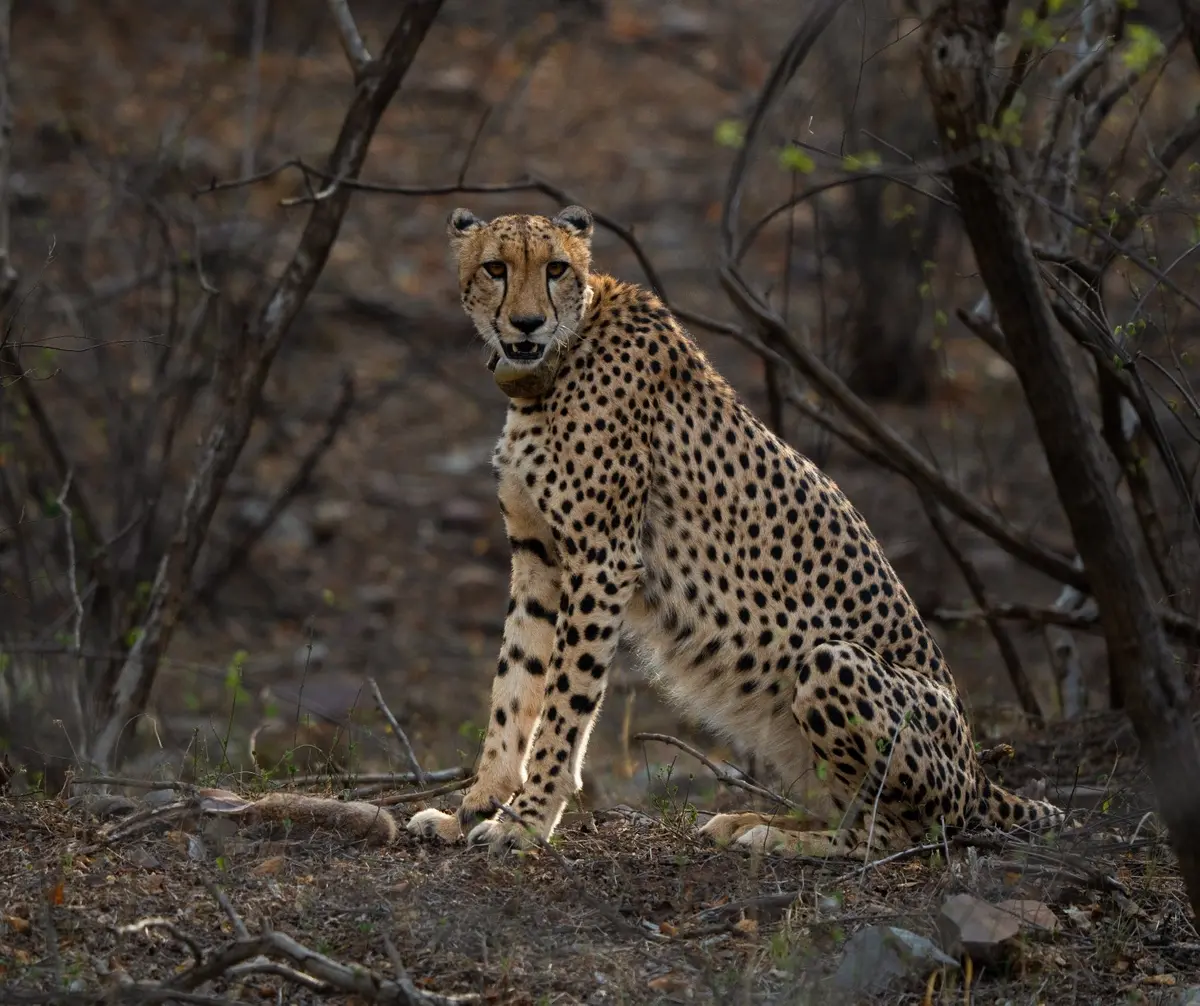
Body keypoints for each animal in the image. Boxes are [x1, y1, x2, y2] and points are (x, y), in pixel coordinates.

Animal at [407, 204, 1065, 860]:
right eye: (495, 268)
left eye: (556, 268)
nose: (527, 323)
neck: (552, 364)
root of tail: (981, 774)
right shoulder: (538, 555)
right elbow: (514, 683)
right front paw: (476, 806)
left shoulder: (602, 560)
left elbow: (565, 701)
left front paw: (526, 819)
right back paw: (747, 821)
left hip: (833, 662)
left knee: (896, 835)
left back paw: (780, 839)